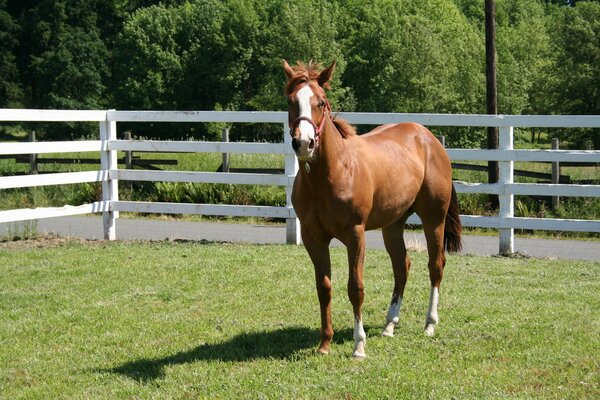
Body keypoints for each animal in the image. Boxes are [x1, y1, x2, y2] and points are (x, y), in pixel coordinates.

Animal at [284, 60, 462, 360]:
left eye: (321, 101)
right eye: (291, 101)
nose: (304, 143)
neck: (332, 173)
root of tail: (429, 138)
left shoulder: (355, 235)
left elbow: (355, 288)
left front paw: (359, 345)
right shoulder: (313, 237)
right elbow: (324, 287)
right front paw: (324, 343)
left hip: (433, 219)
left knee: (435, 266)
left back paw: (429, 324)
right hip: (393, 225)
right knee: (402, 266)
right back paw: (390, 325)